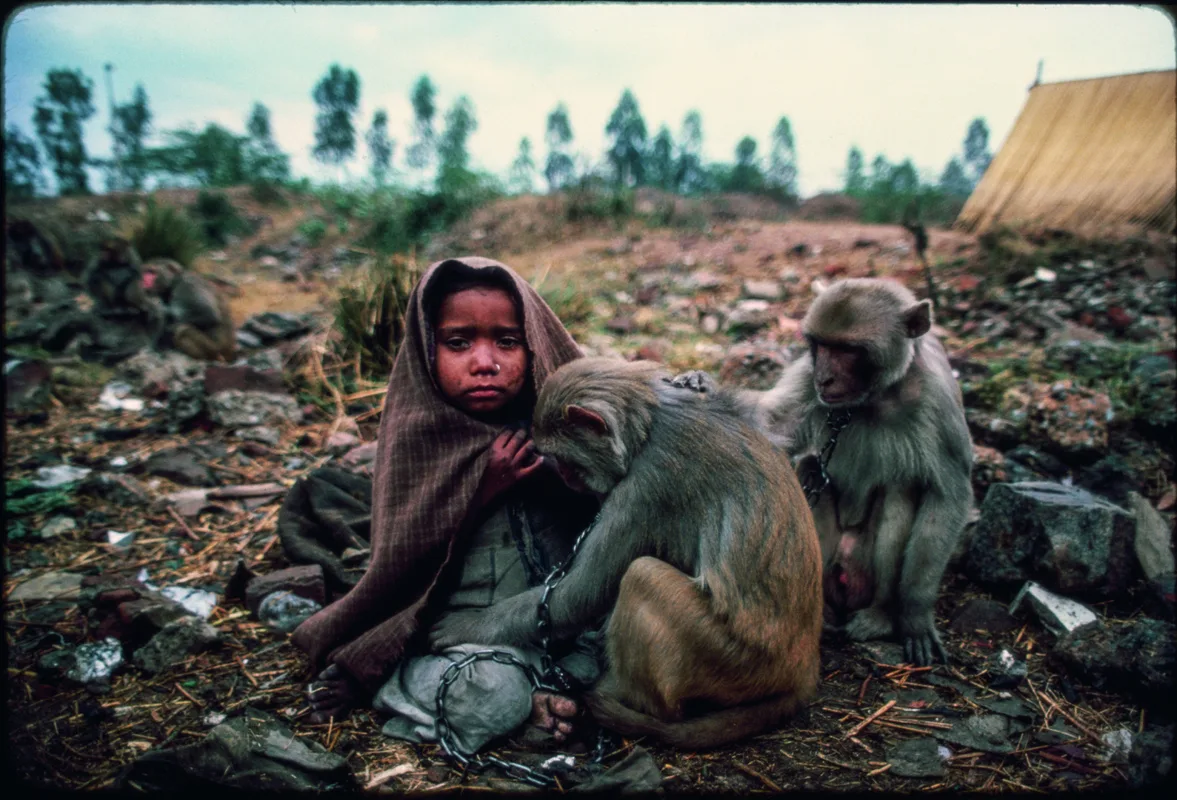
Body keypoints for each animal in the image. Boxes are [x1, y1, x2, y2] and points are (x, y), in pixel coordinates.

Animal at [430, 357, 823, 749]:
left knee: (642, 576)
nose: (566, 477)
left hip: (731, 659)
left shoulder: (647, 488)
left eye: (567, 459)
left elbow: (578, 596)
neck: (649, 427)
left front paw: (465, 625)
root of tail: (802, 670)